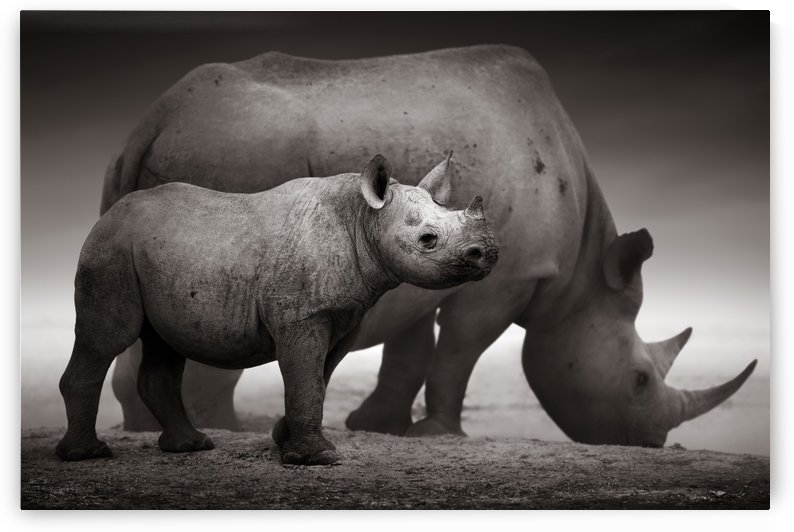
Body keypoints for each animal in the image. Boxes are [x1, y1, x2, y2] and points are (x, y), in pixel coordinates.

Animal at [55, 155, 498, 464]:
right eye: (428, 239)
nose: (488, 253)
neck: (364, 220)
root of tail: (108, 215)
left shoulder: (345, 315)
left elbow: (319, 378)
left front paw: (283, 441)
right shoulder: (303, 315)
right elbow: (306, 378)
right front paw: (317, 459)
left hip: (150, 252)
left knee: (162, 344)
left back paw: (191, 446)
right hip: (111, 249)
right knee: (108, 338)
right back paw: (87, 455)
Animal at [104, 44, 756, 447]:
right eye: (640, 381)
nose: (652, 442)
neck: (580, 280)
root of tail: (152, 119)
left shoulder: (420, 258)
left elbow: (410, 348)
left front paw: (379, 425)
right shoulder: (510, 277)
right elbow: (459, 351)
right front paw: (438, 433)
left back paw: (152, 431)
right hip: (237, 153)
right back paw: (229, 430)